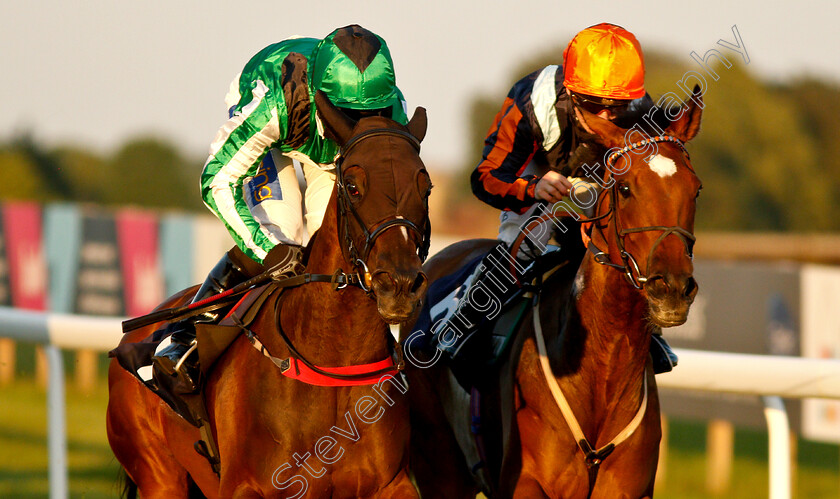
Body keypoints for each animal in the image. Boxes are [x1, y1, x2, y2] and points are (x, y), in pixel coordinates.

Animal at [107, 91, 430, 499]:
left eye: (425, 187)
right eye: (353, 185)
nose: (400, 283)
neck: (333, 363)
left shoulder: (392, 483)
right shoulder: (247, 485)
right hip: (159, 476)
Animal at [404, 88, 704, 498]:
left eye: (695, 188)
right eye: (625, 188)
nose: (672, 287)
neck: (601, 370)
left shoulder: (633, 489)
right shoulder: (527, 483)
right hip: (440, 464)